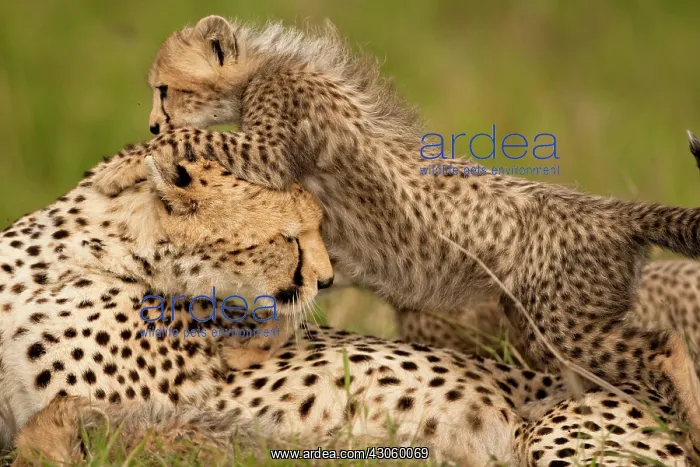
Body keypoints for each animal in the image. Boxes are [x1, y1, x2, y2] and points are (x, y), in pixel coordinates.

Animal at [91, 15, 700, 439]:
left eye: (164, 89)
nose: (152, 119)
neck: (264, 67)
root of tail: (611, 209)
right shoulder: (328, 246)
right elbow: (297, 288)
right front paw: (249, 349)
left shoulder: (269, 151)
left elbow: (191, 138)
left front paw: (126, 164)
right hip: (545, 323)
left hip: (562, 321)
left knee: (666, 347)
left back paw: (688, 423)